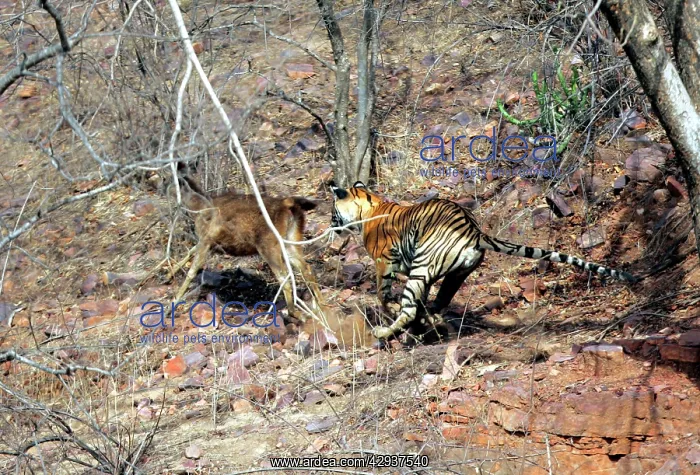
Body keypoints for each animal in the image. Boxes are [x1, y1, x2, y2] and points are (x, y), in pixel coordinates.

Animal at [330, 181, 639, 340]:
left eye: (334, 212)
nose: (331, 225)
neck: (369, 207)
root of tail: (474, 231)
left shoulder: (384, 263)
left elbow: (382, 294)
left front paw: (389, 308)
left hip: (421, 268)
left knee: (411, 307)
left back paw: (387, 332)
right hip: (455, 273)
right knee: (436, 303)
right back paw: (432, 324)